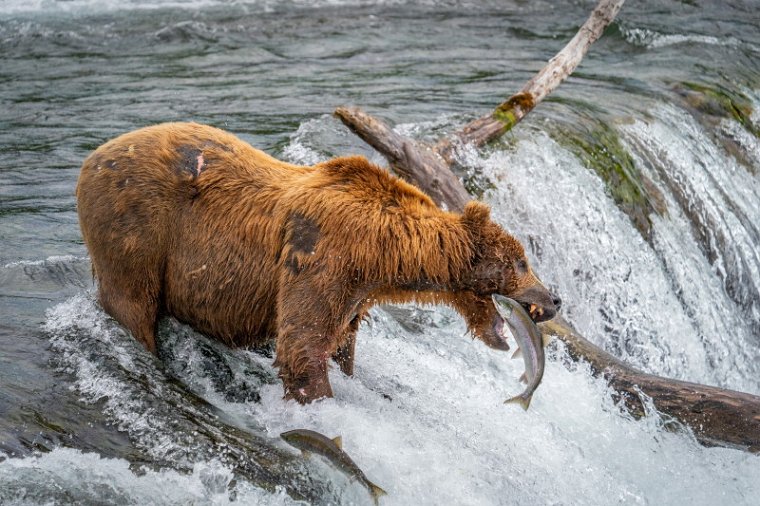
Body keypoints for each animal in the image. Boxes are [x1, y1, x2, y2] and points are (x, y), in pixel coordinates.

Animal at [77, 121, 560, 404]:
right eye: (521, 263)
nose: (554, 299)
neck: (383, 252)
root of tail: (92, 158)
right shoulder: (322, 258)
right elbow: (303, 344)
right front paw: (320, 401)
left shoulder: (355, 293)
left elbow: (341, 343)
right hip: (138, 227)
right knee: (132, 304)